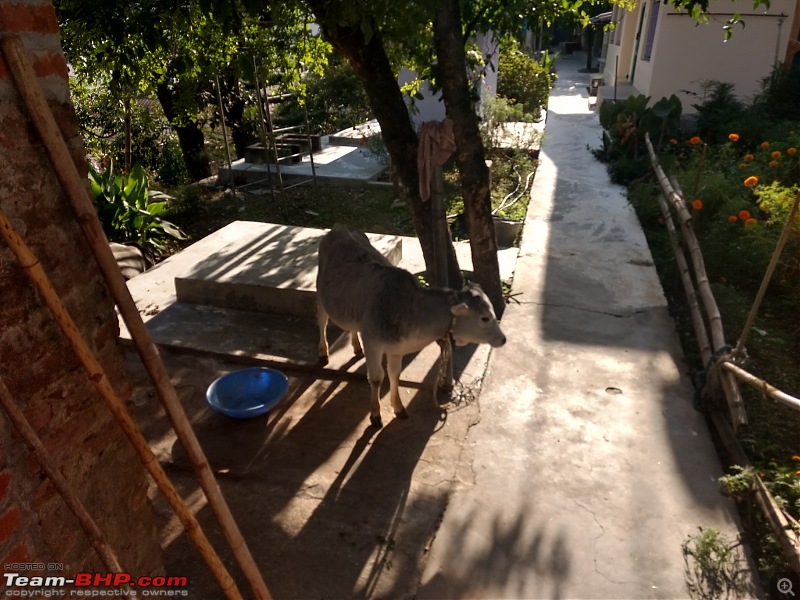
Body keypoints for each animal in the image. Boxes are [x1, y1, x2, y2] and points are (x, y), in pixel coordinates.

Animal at [314, 224, 506, 426]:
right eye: (484, 318)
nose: (503, 339)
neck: (410, 309)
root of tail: (340, 228)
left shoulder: (396, 350)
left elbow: (394, 375)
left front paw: (398, 408)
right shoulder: (373, 343)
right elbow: (376, 378)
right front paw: (375, 415)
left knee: (352, 326)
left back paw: (357, 348)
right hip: (320, 294)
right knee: (322, 320)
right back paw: (323, 352)